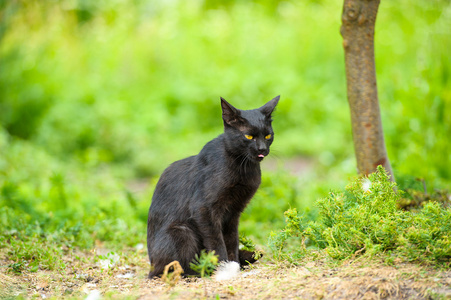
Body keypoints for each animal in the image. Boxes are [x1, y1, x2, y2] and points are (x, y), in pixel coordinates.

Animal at [147, 95, 280, 278]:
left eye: (268, 136)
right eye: (248, 136)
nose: (262, 149)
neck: (243, 167)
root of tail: (151, 266)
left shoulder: (233, 212)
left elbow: (231, 239)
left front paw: (234, 263)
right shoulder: (204, 209)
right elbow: (216, 241)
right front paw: (223, 267)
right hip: (181, 231)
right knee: (173, 269)